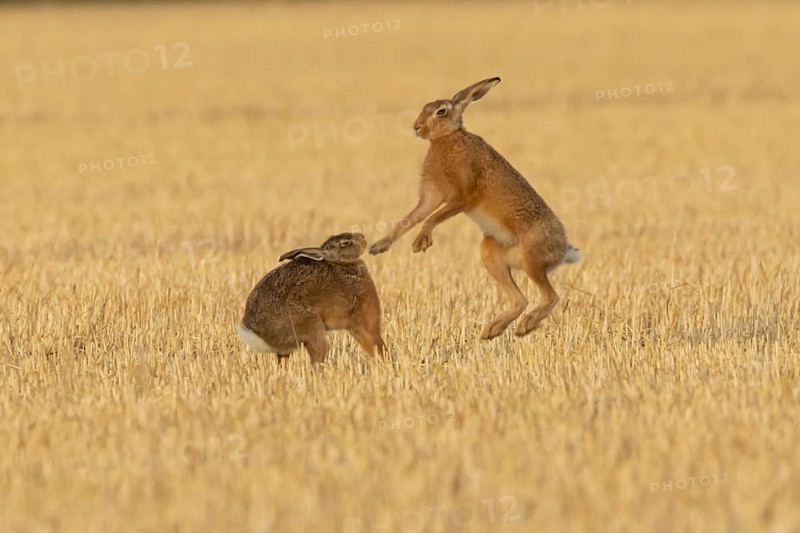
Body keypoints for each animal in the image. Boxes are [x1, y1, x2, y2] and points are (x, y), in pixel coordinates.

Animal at [237, 232, 387, 365]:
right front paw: (386, 362)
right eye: (345, 243)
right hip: (312, 326)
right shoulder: (363, 319)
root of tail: (257, 333)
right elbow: (376, 344)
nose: (363, 237)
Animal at [369, 77, 581, 339]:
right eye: (425, 107)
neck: (449, 138)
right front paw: (379, 246)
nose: (417, 128)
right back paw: (493, 330)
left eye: (441, 111)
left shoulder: (463, 196)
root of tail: (564, 250)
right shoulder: (432, 196)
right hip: (491, 254)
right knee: (521, 299)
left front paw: (421, 242)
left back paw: (526, 326)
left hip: (531, 256)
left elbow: (432, 217)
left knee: (551, 296)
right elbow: (411, 218)